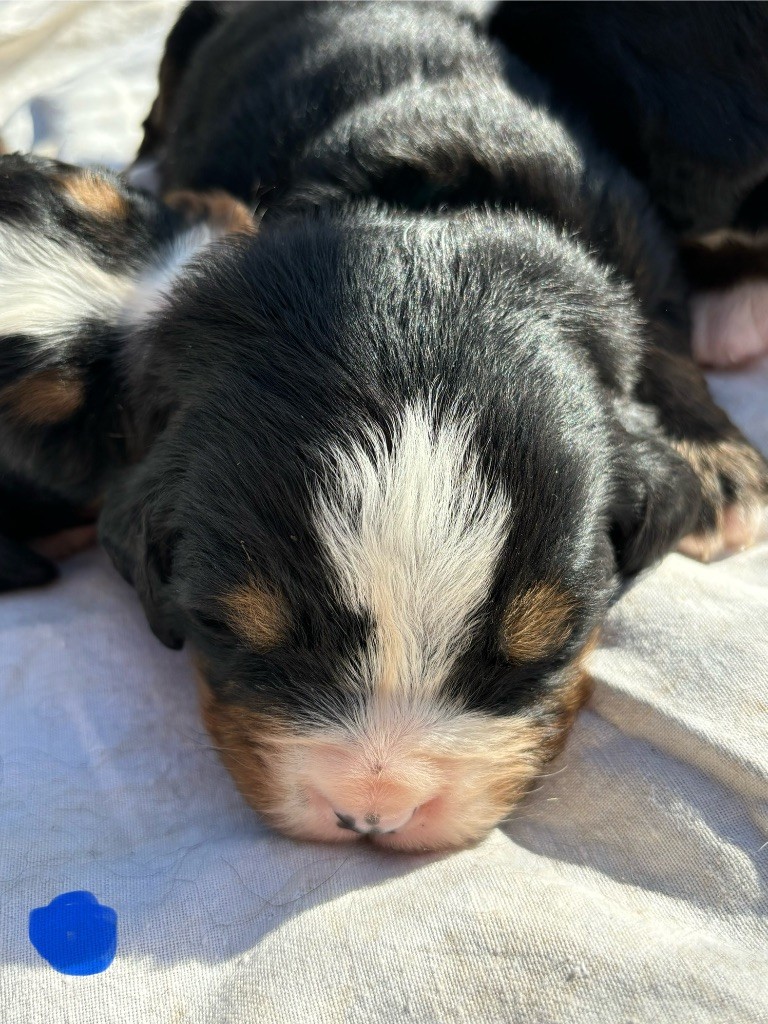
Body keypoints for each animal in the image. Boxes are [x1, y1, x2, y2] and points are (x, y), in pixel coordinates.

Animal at [0, 0, 765, 851]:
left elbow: (658, 328)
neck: (432, 221)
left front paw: (712, 461)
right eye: (229, 631)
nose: (376, 811)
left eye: (551, 646)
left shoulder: (626, 228)